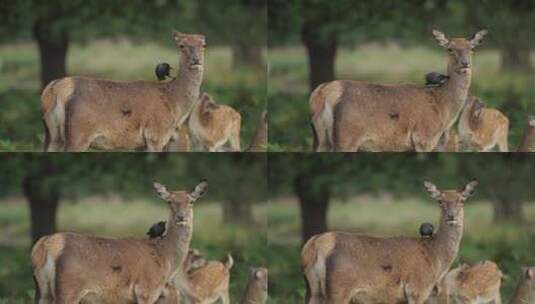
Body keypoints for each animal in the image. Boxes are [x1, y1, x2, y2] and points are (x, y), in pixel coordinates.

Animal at [30, 180, 207, 304]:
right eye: (169, 201)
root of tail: (47, 246)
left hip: (41, 290)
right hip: (68, 289)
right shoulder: (146, 290)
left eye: (191, 201)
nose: (181, 217)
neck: (165, 258)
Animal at [40, 31, 205, 152]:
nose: (196, 59)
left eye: (203, 45)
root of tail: (56, 89)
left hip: (51, 134)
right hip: (78, 134)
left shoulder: (141, 144)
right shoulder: (156, 134)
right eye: (181, 45)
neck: (175, 105)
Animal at [304, 179, 480, 302]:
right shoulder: (417, 289)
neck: (436, 260)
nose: (452, 216)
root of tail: (315, 245)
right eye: (440, 201)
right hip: (338, 288)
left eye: (462, 200)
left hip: (312, 288)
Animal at [310, 28, 490, 151]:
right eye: (450, 49)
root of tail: (324, 93)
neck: (443, 109)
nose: (465, 63)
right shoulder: (423, 137)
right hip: (346, 136)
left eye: (472, 49)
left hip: (320, 138)